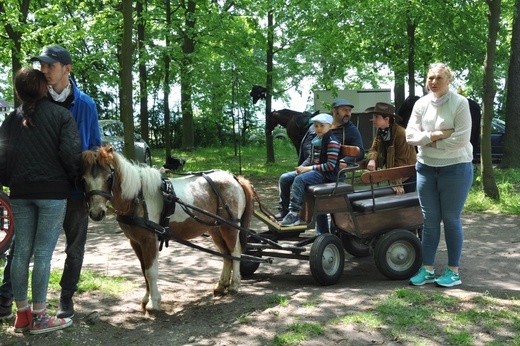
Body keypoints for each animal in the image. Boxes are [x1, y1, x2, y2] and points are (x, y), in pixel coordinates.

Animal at [79, 145, 256, 310]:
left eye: (109, 178)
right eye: (84, 180)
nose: (96, 213)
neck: (137, 198)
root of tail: (234, 178)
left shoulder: (149, 240)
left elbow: (150, 272)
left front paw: (154, 303)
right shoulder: (135, 242)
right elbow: (143, 270)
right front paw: (146, 298)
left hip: (230, 226)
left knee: (235, 251)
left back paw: (234, 285)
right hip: (215, 228)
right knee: (226, 254)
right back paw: (221, 285)